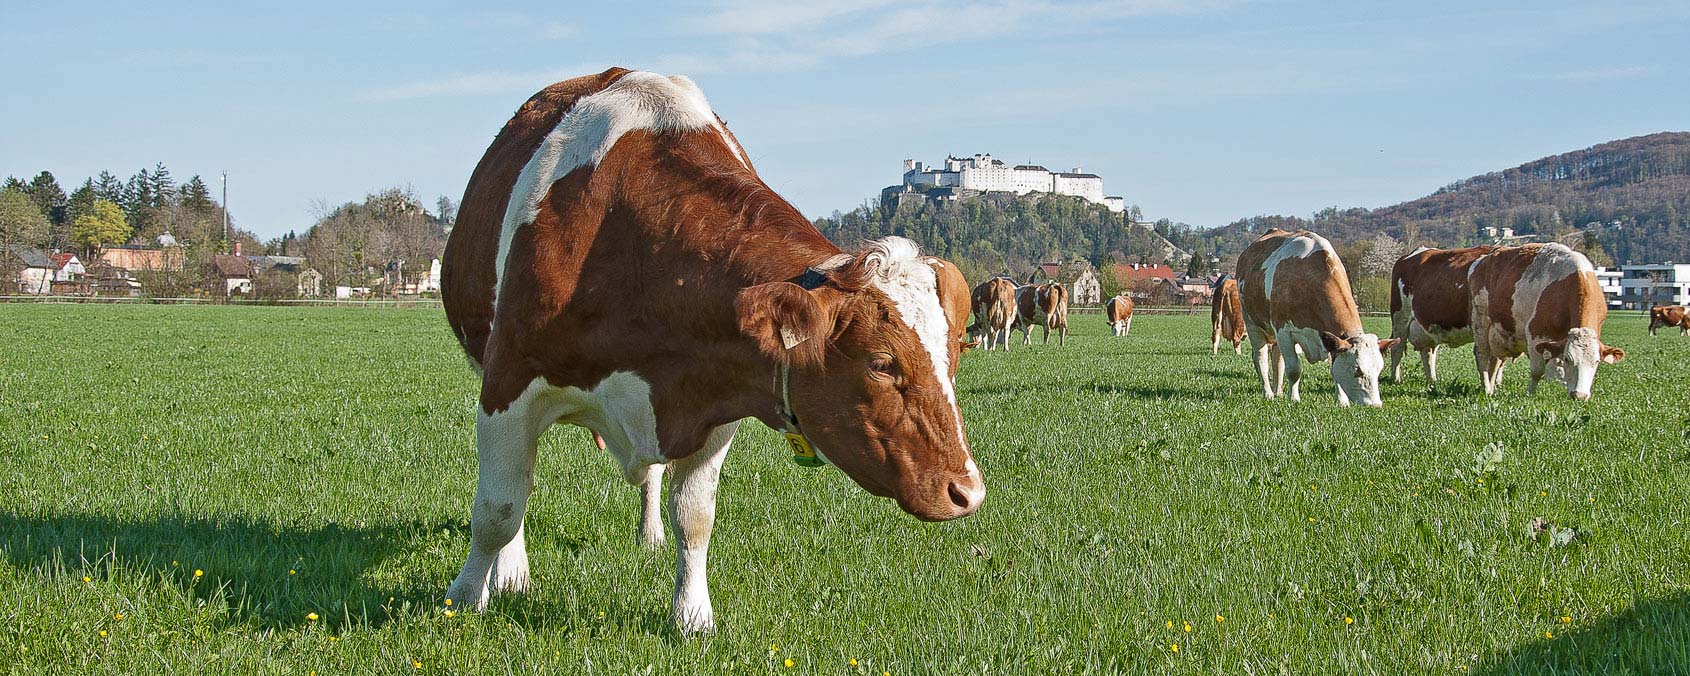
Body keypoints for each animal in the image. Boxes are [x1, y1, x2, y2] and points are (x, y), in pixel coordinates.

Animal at [442, 68, 986, 635]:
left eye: (955, 358)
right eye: (881, 364)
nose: (968, 492)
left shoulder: (715, 399)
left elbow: (695, 516)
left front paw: (691, 614)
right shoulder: (507, 388)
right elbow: (499, 509)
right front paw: (466, 595)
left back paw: (649, 534)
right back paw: (510, 572)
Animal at [1230, 226, 1399, 407]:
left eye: (1379, 370)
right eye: (1357, 370)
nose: (1375, 404)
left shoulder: (1329, 339)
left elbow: (1333, 369)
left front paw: (1342, 402)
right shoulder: (1284, 331)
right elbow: (1294, 369)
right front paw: (1294, 398)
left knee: (1277, 360)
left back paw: (1278, 392)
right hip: (1252, 323)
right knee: (1260, 358)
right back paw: (1268, 393)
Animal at [1385, 245, 1507, 380]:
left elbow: (1500, 359)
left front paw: (1498, 382)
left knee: (1428, 352)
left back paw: (1432, 380)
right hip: (1400, 317)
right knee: (1397, 348)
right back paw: (1396, 379)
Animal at [1473, 245, 1629, 398]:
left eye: (1596, 362)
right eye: (1568, 359)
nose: (1579, 395)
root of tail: (1485, 258)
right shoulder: (1535, 334)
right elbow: (1537, 371)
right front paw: (1530, 394)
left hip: (1498, 335)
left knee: (1495, 360)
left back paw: (1491, 389)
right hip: (1481, 323)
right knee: (1482, 357)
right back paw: (1487, 389)